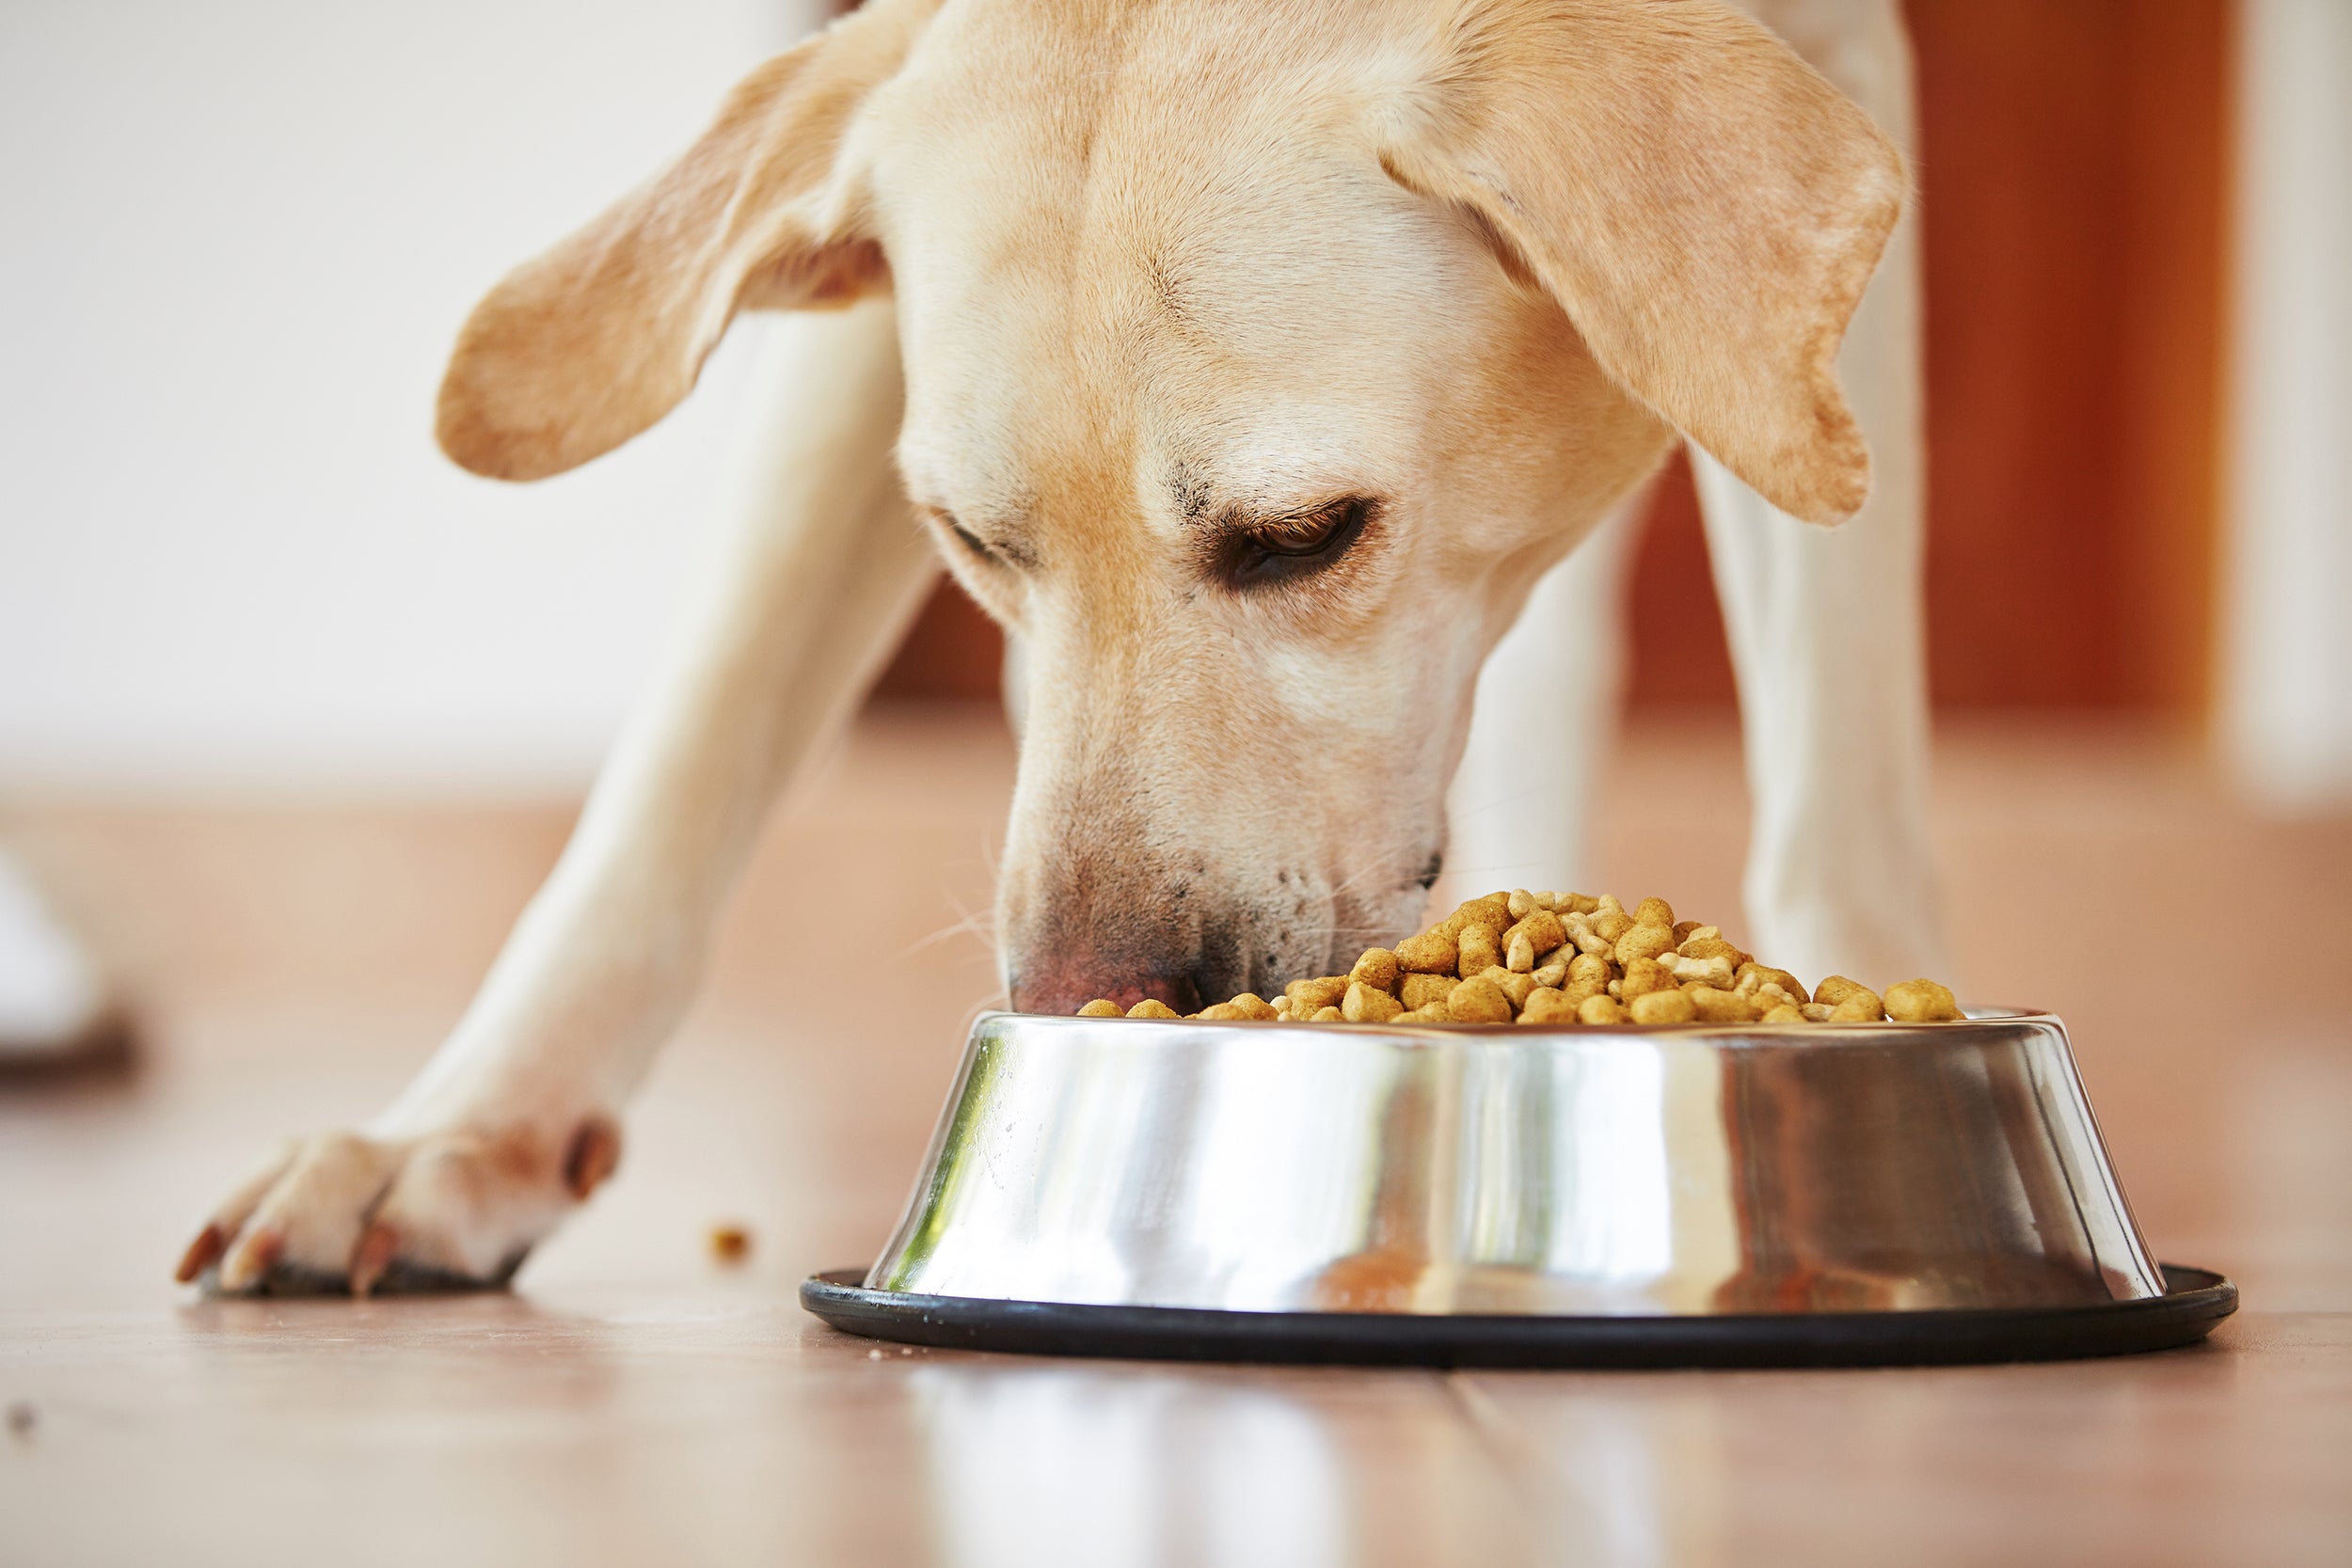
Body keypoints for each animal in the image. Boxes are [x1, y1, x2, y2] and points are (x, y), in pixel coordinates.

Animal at [179, 0, 1947, 1297]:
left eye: (1305, 534)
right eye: (973, 541)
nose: (1078, 999)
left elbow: (1841, 756)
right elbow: (694, 743)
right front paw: (465, 1130)